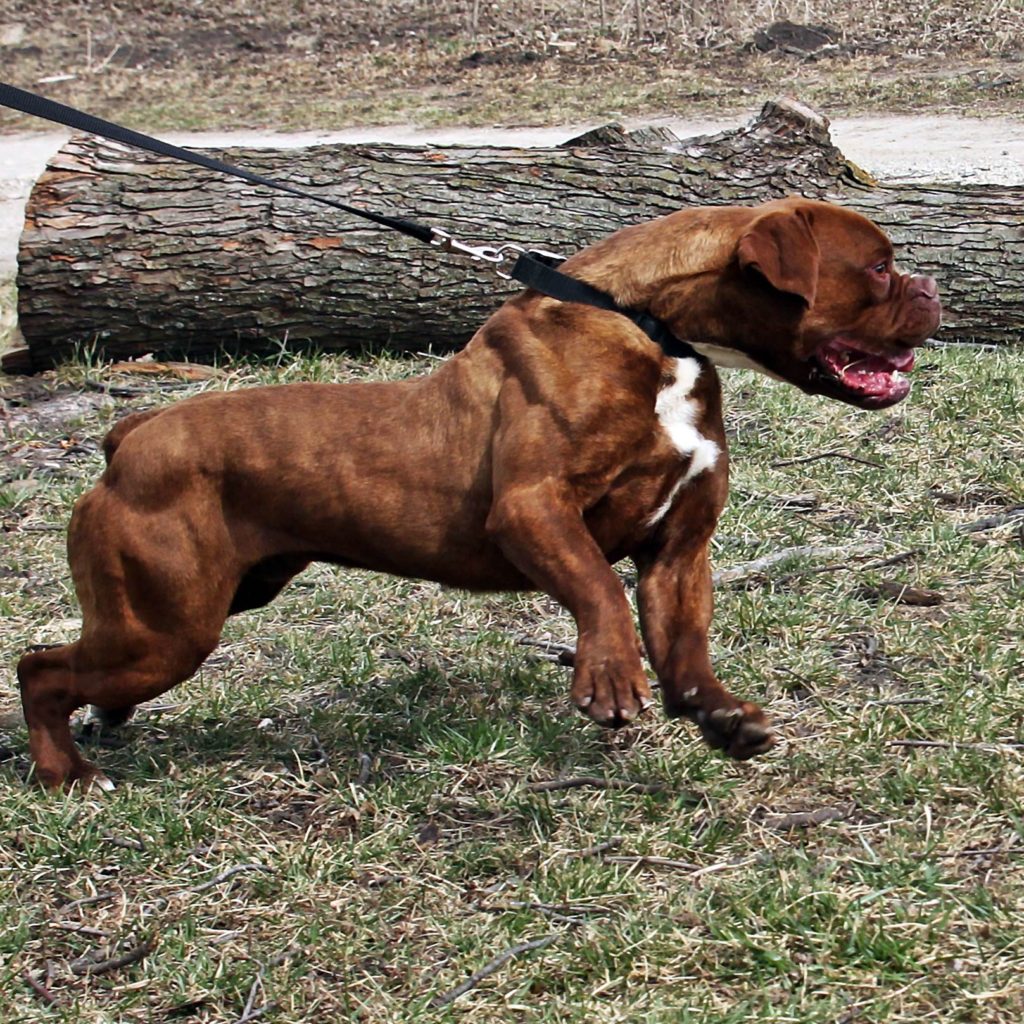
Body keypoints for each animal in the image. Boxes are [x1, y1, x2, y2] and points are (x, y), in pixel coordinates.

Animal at [18, 195, 942, 786]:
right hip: (165, 629)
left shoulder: (680, 549)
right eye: (878, 266)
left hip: (198, 608)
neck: (657, 332)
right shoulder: (533, 510)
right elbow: (599, 591)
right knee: (39, 669)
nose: (931, 288)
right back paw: (68, 773)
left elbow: (684, 642)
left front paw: (717, 716)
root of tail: (129, 437)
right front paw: (611, 679)